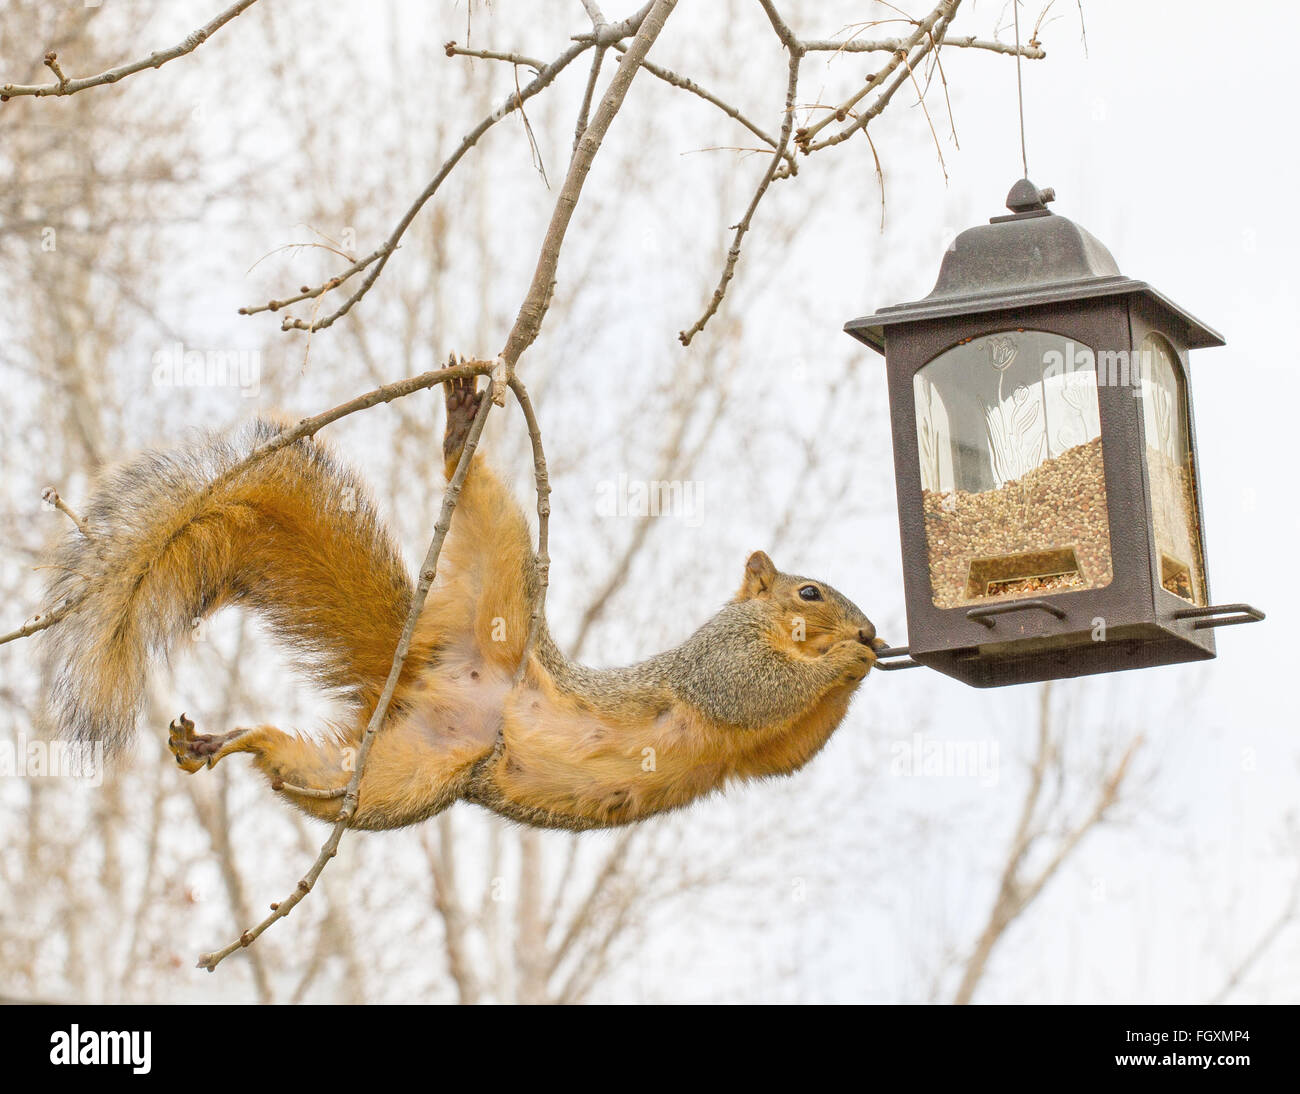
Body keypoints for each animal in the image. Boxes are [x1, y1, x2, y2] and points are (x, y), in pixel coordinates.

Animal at [42, 375, 886, 832]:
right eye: (808, 591)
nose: (873, 628)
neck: (769, 626)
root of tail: (424, 673)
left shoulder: (759, 755)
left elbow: (791, 748)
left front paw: (864, 658)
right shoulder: (717, 658)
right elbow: (752, 690)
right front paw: (848, 657)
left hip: (399, 779)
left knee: (305, 772)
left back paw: (233, 741)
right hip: (499, 574)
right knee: (481, 500)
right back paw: (457, 429)